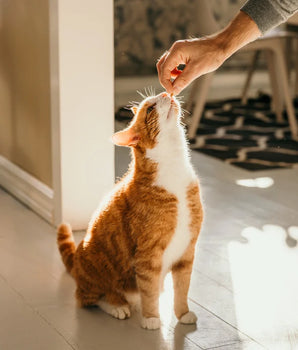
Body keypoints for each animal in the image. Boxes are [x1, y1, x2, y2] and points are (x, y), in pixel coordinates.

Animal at [57, 91, 204, 330]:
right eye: (150, 108)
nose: (166, 93)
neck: (174, 168)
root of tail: (77, 264)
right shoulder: (148, 256)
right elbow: (149, 291)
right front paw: (151, 318)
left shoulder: (187, 251)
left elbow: (182, 290)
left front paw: (183, 314)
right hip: (95, 270)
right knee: (89, 298)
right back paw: (117, 306)